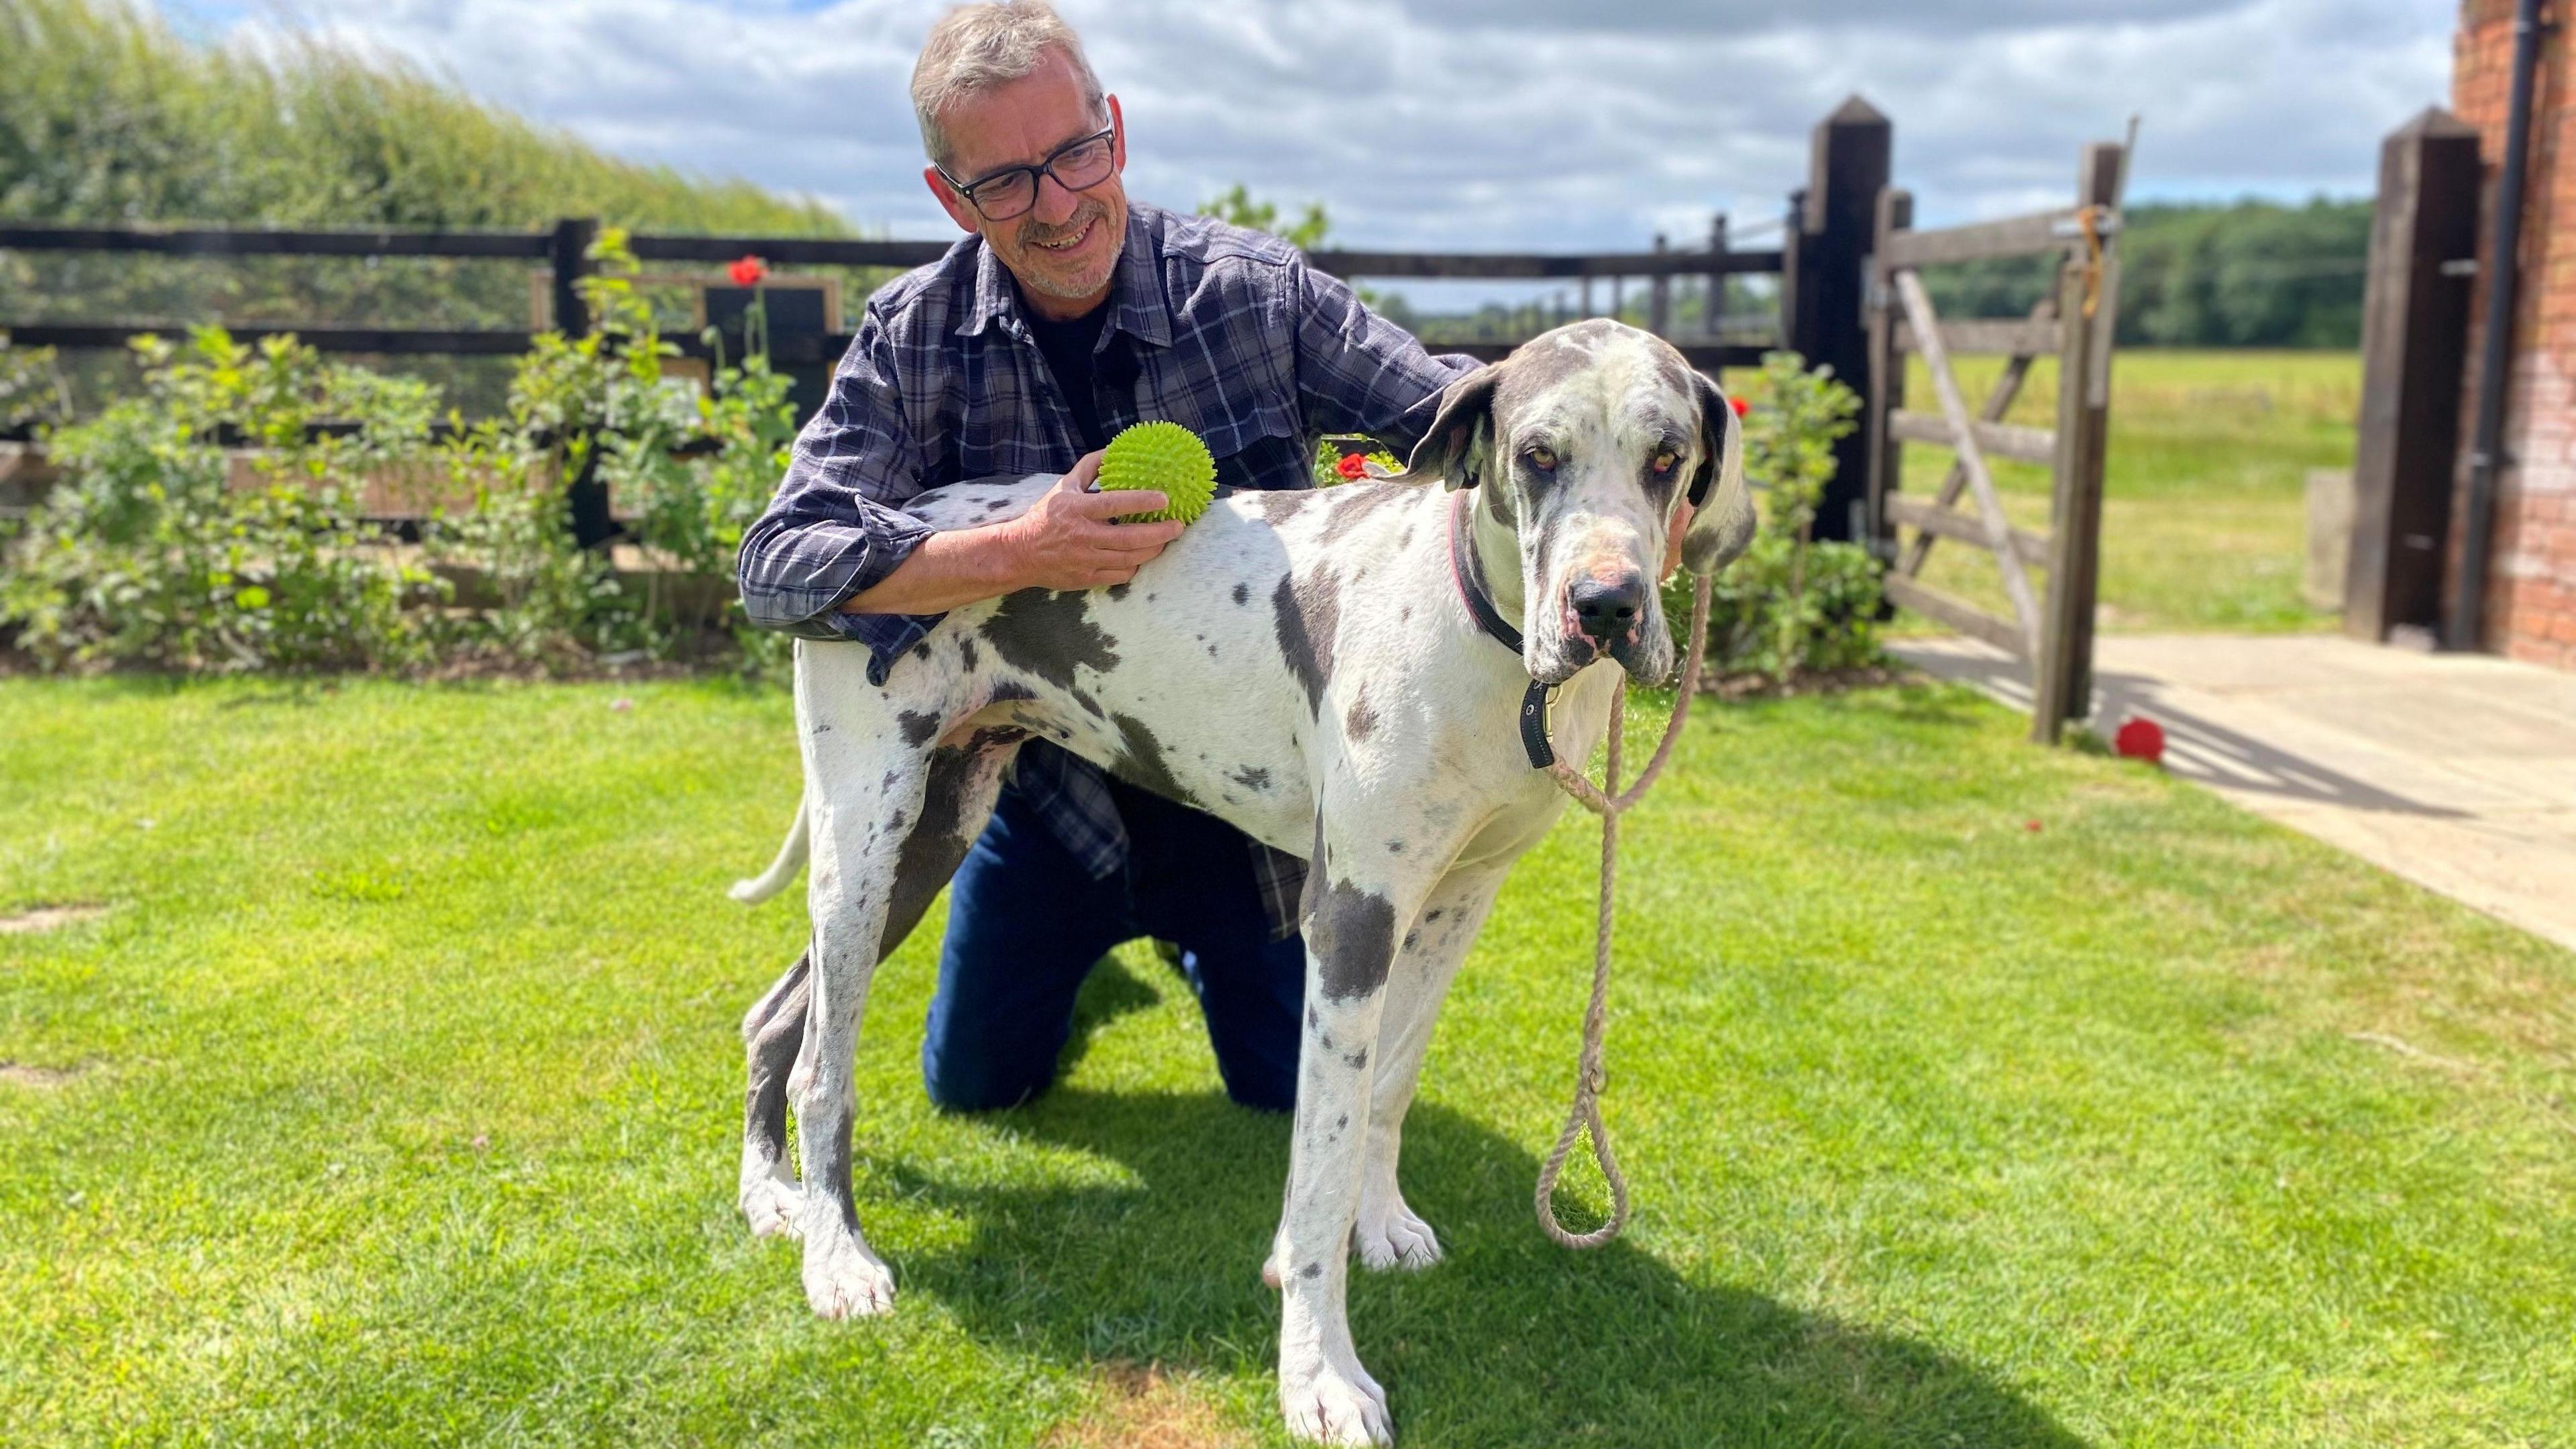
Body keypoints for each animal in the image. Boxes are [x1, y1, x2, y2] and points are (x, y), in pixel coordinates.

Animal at [737, 318, 1762, 1444]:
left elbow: (1387, 1089)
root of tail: (899, 520)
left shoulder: (1455, 902)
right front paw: (1319, 1374)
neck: (1477, 630)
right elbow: (1320, 1154)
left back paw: (770, 1197)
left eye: (1667, 459)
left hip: (926, 838)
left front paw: (1382, 1223)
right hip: (864, 835)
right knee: (823, 1068)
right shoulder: (1352, 918)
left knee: (777, 1016)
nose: (1606, 605)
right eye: (1538, 456)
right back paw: (837, 1259)